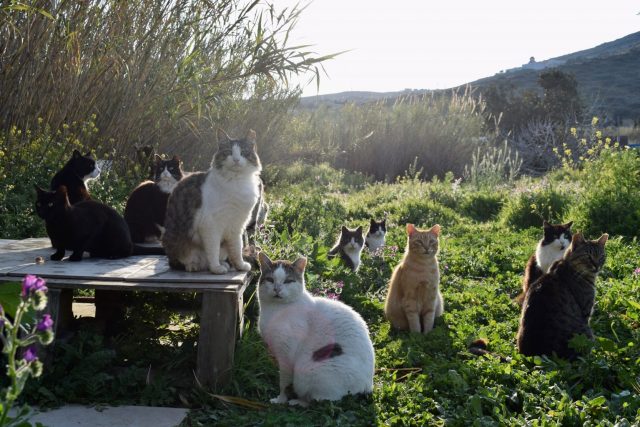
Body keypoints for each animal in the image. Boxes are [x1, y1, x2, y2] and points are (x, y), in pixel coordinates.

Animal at [34, 185, 163, 261]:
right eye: (39, 204)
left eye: (51, 204)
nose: (42, 211)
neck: (56, 223)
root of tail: (130, 241)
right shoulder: (58, 240)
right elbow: (61, 247)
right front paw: (58, 256)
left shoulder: (95, 225)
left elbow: (81, 245)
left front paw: (75, 256)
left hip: (117, 234)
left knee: (128, 251)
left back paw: (114, 255)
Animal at [162, 128, 261, 274]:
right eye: (229, 152)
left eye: (243, 152)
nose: (236, 160)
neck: (236, 182)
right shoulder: (211, 225)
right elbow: (213, 250)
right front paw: (216, 268)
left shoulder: (236, 226)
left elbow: (237, 249)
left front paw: (240, 265)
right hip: (177, 241)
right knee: (181, 261)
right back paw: (194, 266)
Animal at [257, 252, 375, 407]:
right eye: (270, 280)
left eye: (288, 281)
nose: (277, 289)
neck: (275, 309)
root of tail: (368, 386)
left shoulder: (286, 354)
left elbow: (284, 383)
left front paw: (281, 399)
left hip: (307, 370)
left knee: (318, 401)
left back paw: (297, 401)